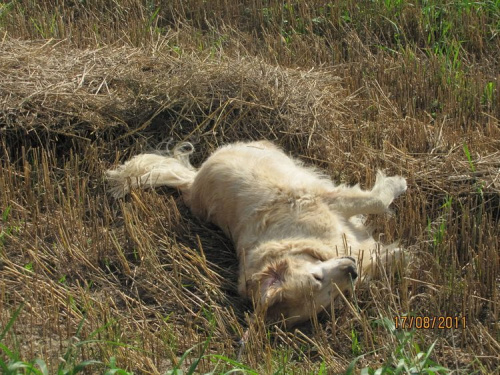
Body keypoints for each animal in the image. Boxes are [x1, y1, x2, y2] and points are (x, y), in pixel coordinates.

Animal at [105, 141, 406, 326]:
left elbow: (377, 200)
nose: (351, 270)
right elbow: (378, 216)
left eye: (317, 276)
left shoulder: (326, 200)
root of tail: (193, 184)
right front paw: (399, 254)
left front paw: (397, 183)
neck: (299, 240)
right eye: (331, 296)